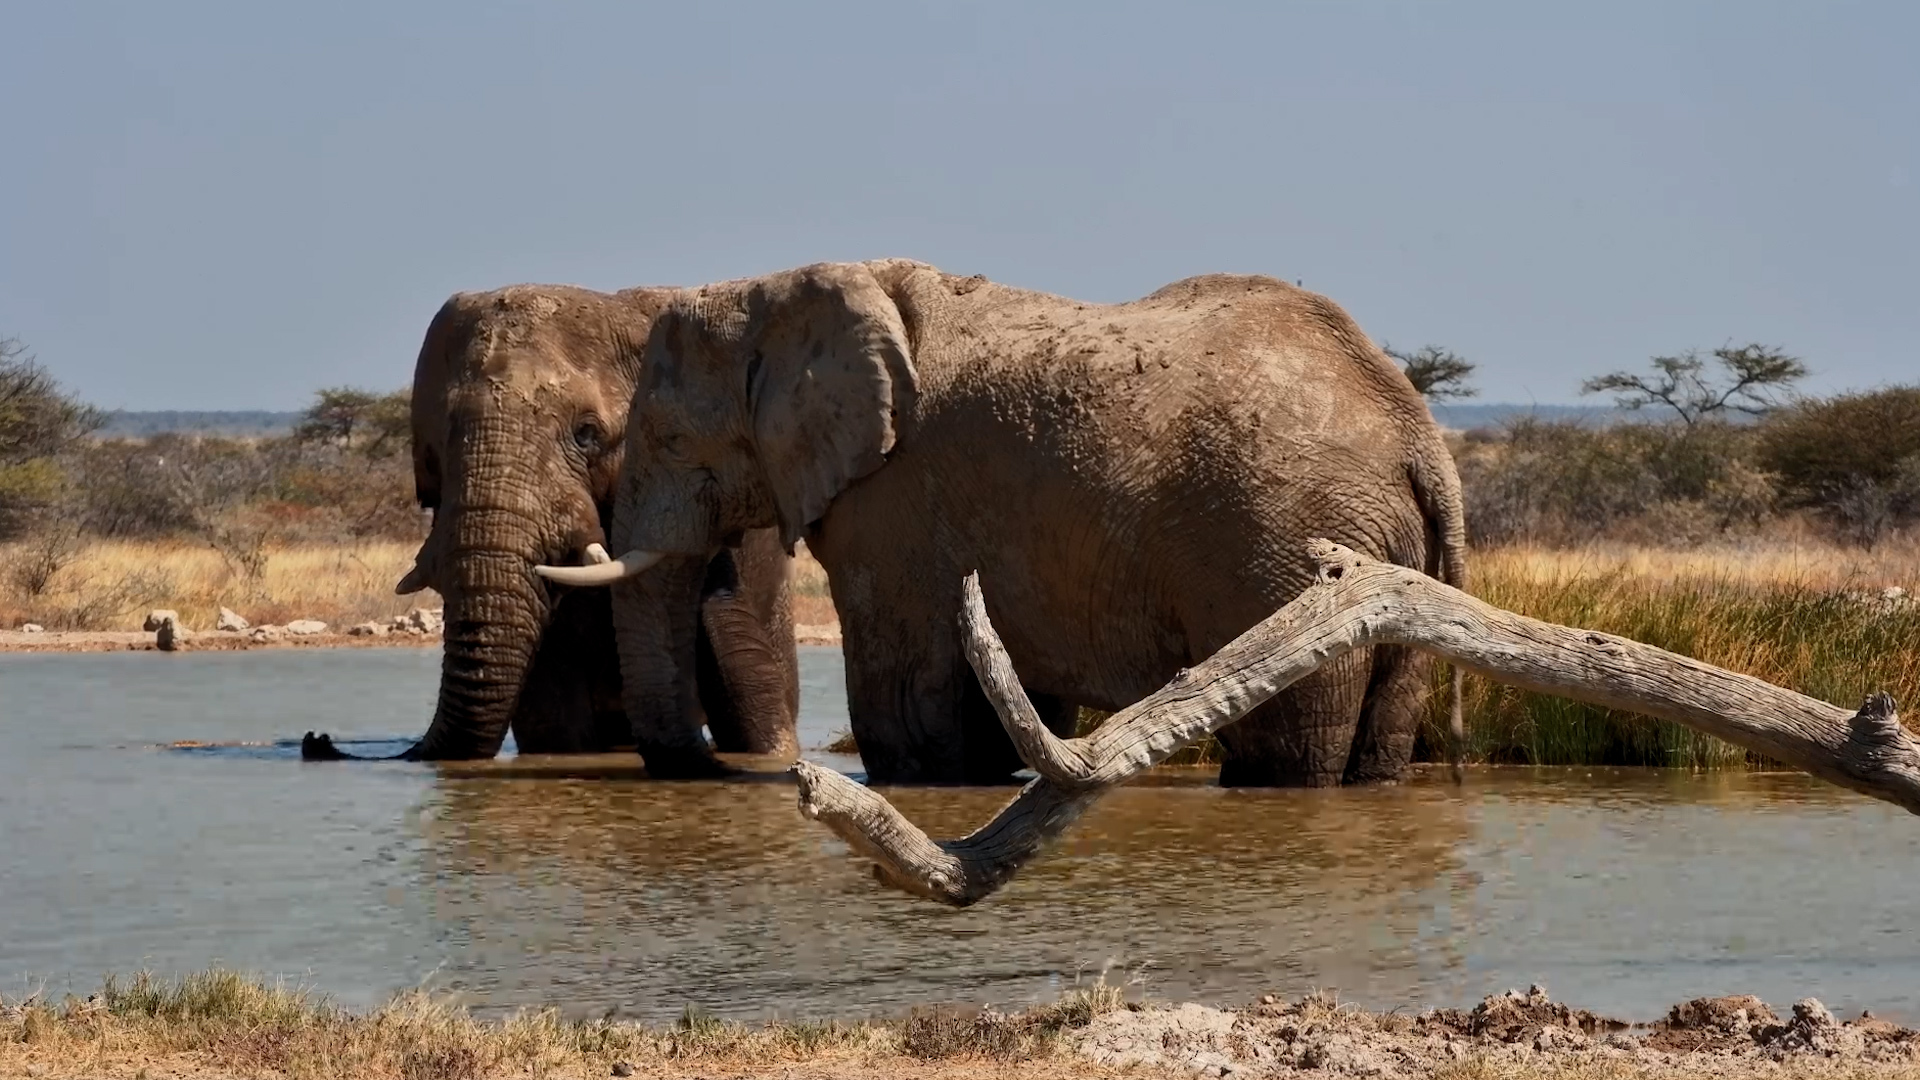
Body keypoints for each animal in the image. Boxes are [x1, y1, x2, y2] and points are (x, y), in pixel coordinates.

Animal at [537, 260, 1467, 786]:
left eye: (666, 437)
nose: (707, 767)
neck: (774, 290)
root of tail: (1417, 435)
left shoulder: (892, 502)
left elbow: (904, 697)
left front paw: (922, 780)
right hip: (1393, 558)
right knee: (1382, 730)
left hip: (1284, 552)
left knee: (1284, 746)